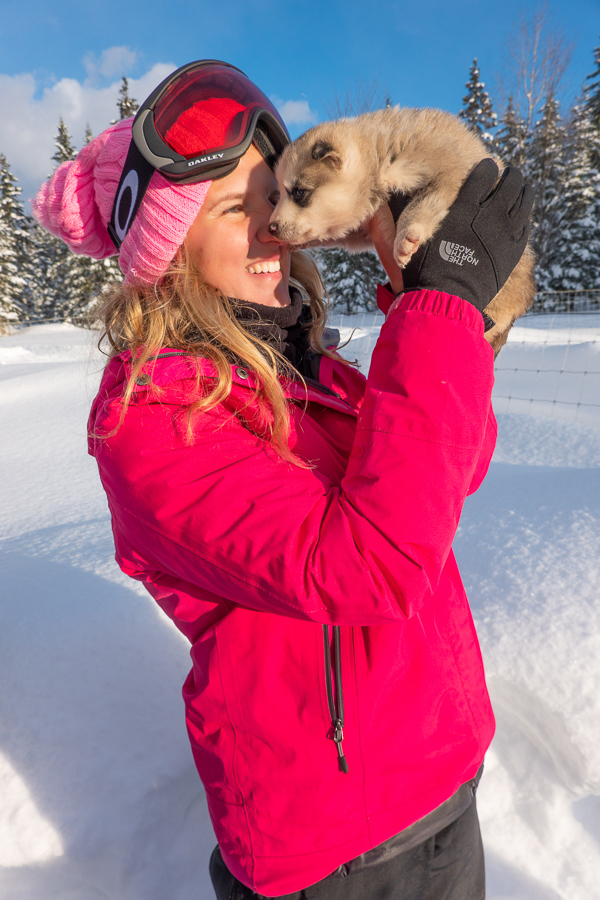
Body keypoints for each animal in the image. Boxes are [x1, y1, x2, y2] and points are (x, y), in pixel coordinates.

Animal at [270, 109, 536, 356]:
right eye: (278, 194)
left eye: (299, 192)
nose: (271, 227)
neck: (379, 153)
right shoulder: (366, 225)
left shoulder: (451, 175)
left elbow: (422, 204)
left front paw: (407, 237)